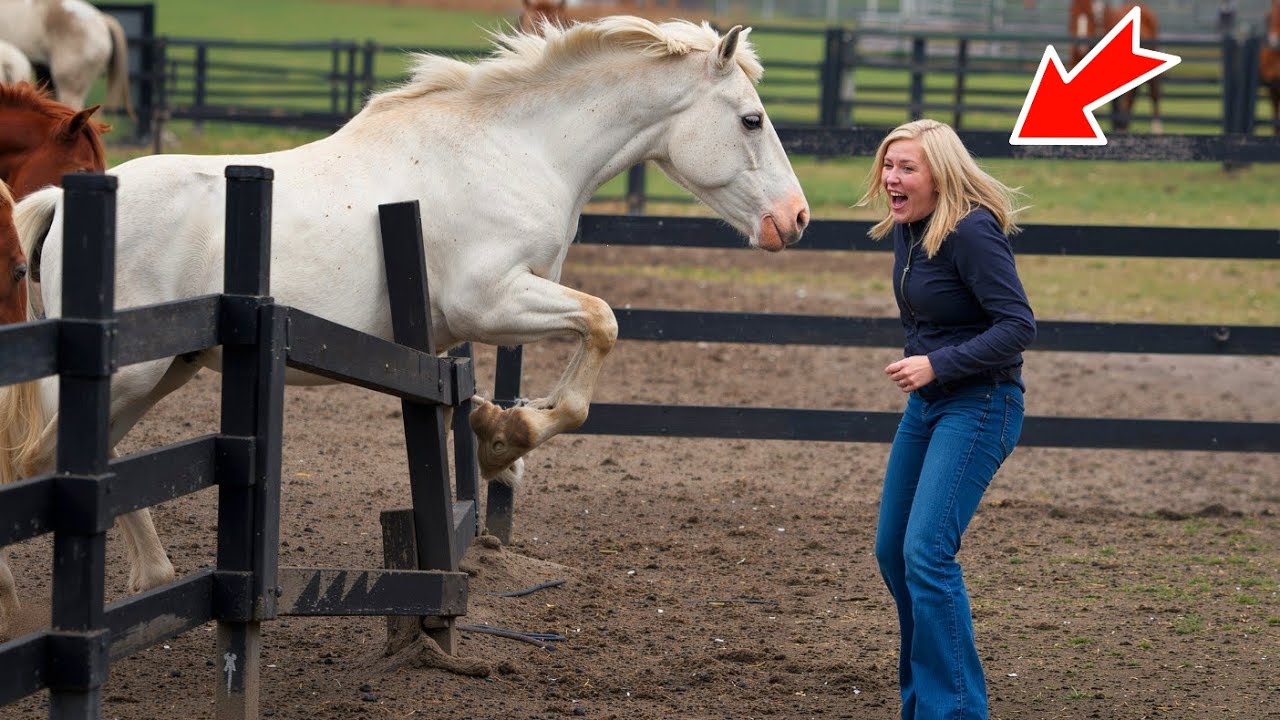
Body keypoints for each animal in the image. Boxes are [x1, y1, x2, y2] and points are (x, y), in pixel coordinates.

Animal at [0, 16, 809, 637]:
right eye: (752, 119)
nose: (795, 219)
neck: (517, 149)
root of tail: (58, 204)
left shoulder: (492, 315)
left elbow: (554, 368)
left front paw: (499, 428)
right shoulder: (494, 299)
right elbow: (600, 330)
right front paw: (506, 437)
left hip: (165, 369)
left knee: (91, 461)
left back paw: (150, 576)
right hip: (132, 373)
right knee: (43, 460)